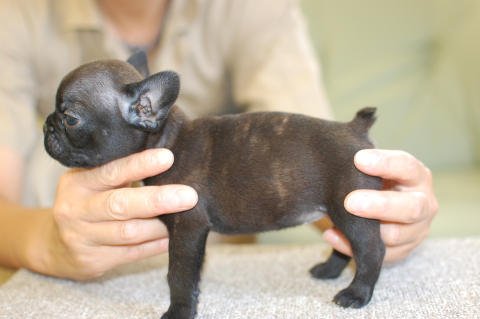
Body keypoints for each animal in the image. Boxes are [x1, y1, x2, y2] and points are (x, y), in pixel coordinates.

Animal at [43, 51, 384, 318]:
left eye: (70, 118)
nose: (47, 125)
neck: (166, 141)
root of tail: (356, 129)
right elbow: (192, 269)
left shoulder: (187, 226)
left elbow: (178, 274)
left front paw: (178, 311)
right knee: (344, 243)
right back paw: (328, 271)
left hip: (351, 207)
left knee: (369, 250)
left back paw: (356, 294)